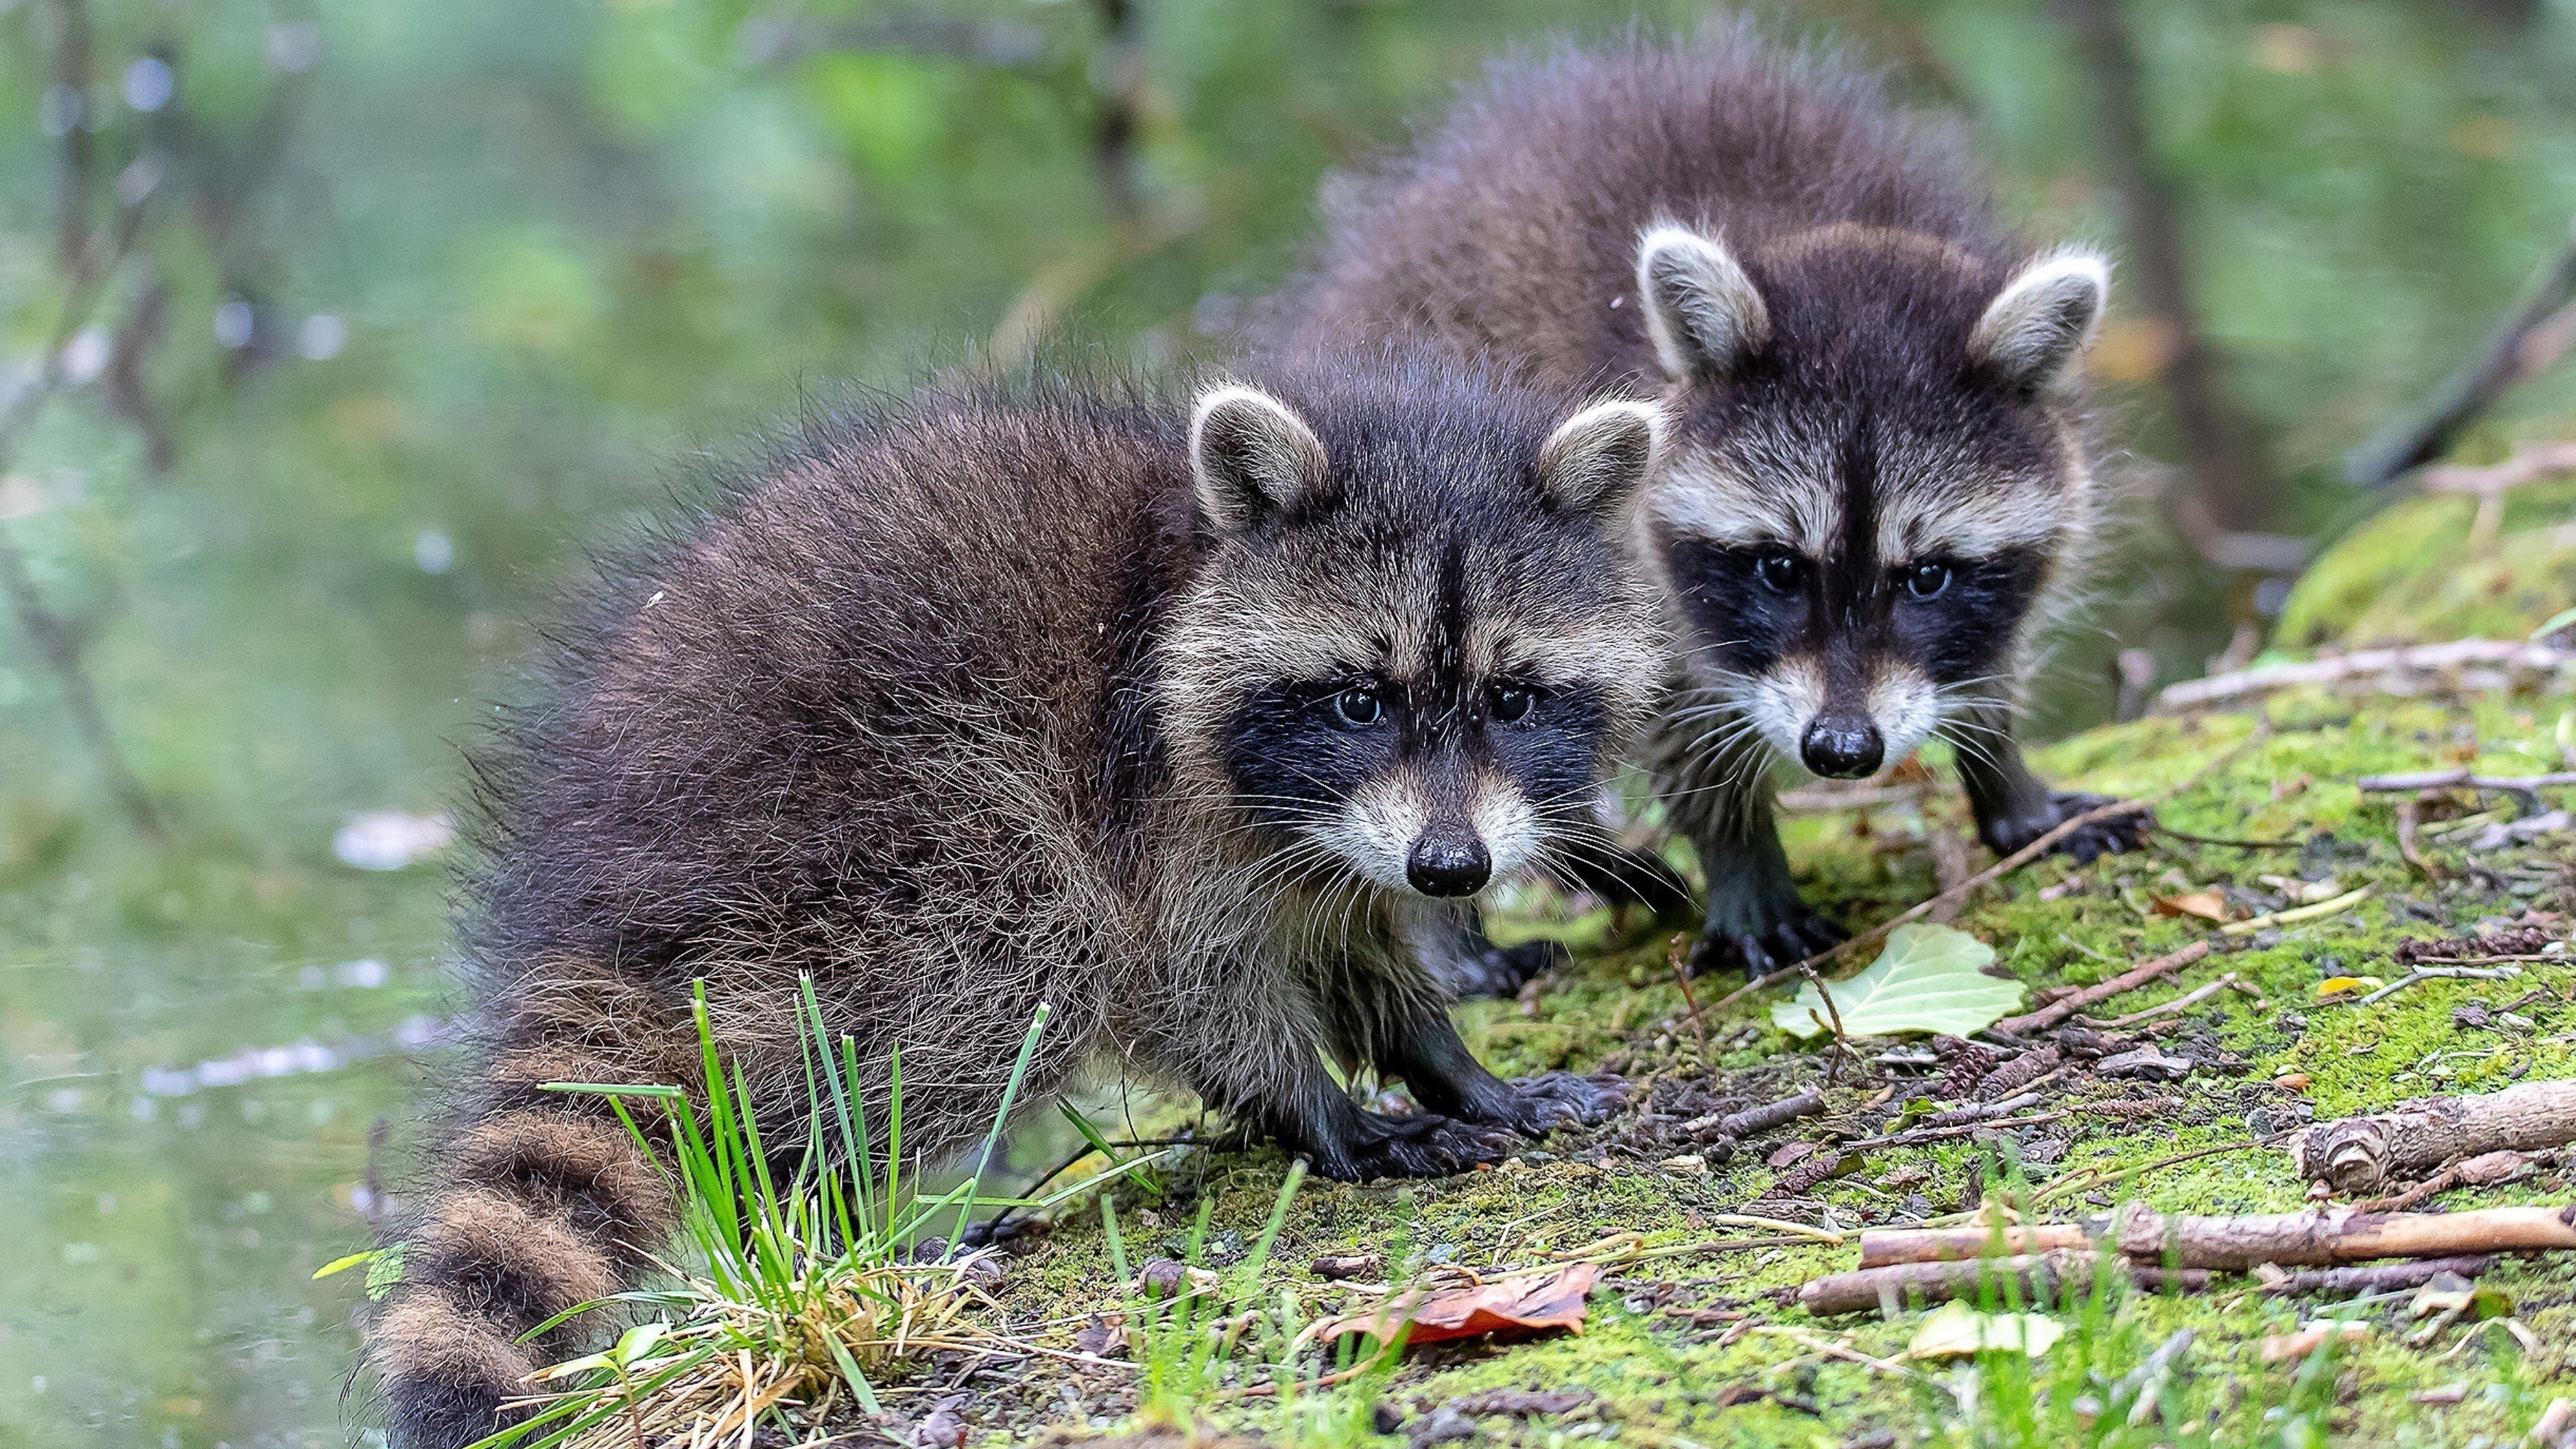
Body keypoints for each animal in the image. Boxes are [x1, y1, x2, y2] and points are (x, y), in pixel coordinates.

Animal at [368, 353, 1669, 1444]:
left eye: (1512, 698)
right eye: (1360, 699)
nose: (1454, 871)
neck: (1186, 574)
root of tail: (583, 892)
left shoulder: (1341, 848)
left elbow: (1360, 953)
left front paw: (1456, 1068)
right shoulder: (1158, 806)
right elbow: (1195, 984)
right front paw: (1322, 1111)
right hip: (863, 832)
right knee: (1006, 952)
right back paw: (816, 1214)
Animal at [1277, 25, 2143, 969]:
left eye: (1928, 576)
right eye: (1779, 568)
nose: (1842, 750)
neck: (1805, 228)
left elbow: (1986, 662)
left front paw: (2007, 781)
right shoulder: (1627, 564)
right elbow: (1683, 728)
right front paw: (1744, 860)